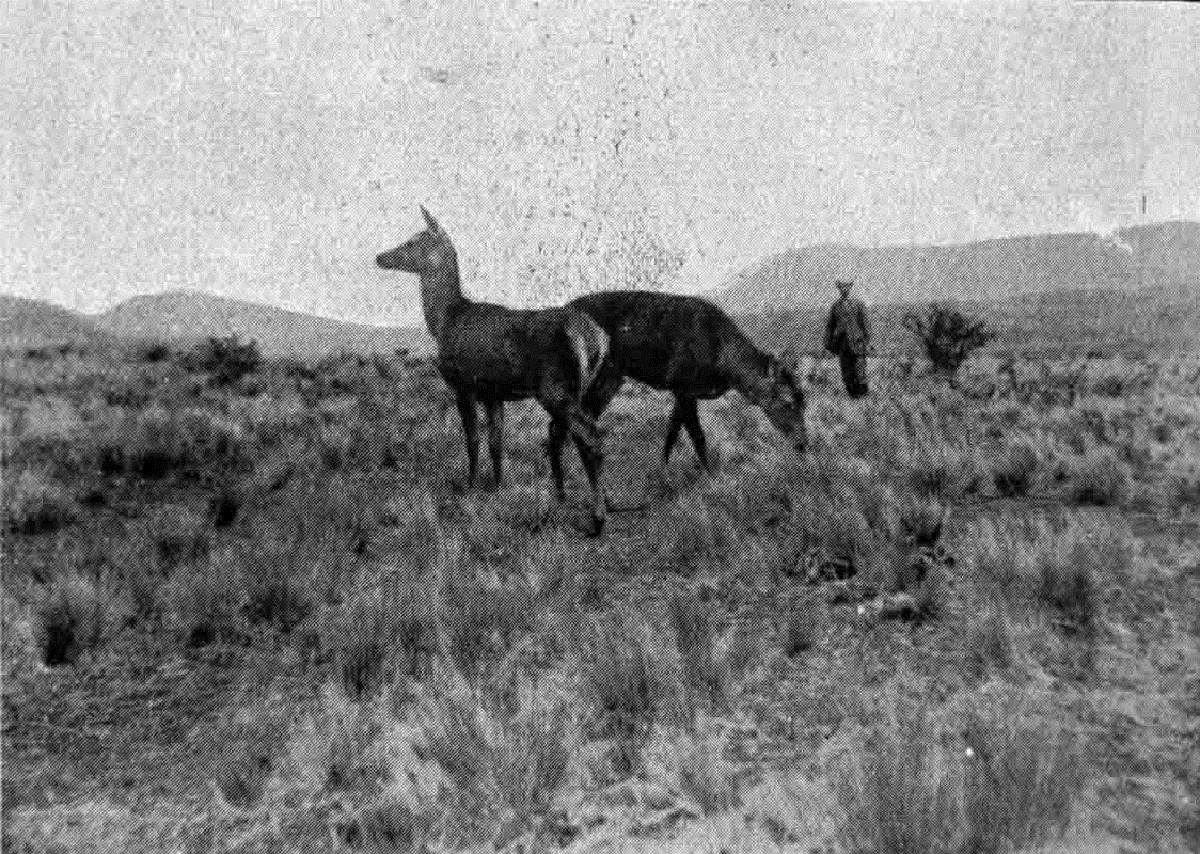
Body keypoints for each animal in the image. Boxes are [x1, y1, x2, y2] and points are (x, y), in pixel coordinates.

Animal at [376, 206, 609, 532]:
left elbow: (473, 439)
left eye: (412, 241)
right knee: (571, 435)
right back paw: (568, 499)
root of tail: (596, 337)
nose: (380, 256)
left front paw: (470, 485)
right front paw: (498, 487)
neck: (444, 322)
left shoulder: (464, 384)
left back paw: (597, 518)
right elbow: (496, 442)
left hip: (554, 388)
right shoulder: (493, 393)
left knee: (590, 437)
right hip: (581, 388)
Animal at [568, 290, 806, 470]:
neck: (727, 368)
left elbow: (672, 432)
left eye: (804, 401)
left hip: (611, 379)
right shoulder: (682, 386)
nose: (803, 444)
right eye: (788, 402)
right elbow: (697, 436)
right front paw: (709, 474)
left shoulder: (681, 392)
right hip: (594, 379)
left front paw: (663, 473)